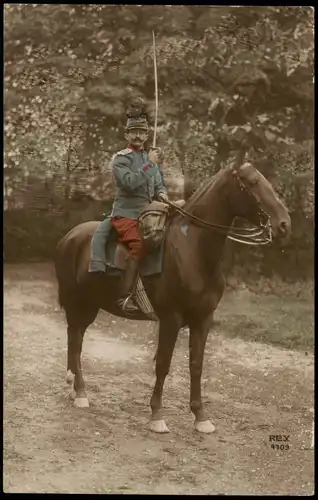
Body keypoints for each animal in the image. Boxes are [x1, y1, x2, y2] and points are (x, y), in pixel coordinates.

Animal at [54, 163, 290, 434]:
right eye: (252, 182)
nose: (284, 223)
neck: (194, 251)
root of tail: (69, 237)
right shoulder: (171, 319)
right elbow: (163, 364)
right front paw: (157, 415)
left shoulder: (203, 319)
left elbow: (196, 365)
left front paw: (201, 417)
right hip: (79, 303)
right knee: (76, 341)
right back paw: (80, 392)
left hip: (89, 305)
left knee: (76, 338)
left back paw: (74, 387)